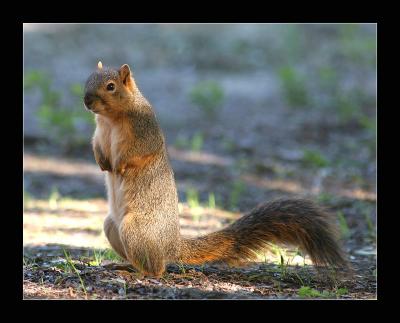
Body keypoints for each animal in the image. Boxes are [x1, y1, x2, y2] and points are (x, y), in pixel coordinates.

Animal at [83, 62, 346, 278]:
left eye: (110, 86)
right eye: (88, 79)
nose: (86, 101)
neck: (111, 119)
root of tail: (173, 245)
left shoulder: (144, 129)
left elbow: (138, 152)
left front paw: (119, 165)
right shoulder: (99, 133)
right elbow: (96, 146)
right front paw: (102, 163)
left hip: (135, 229)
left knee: (158, 268)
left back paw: (137, 272)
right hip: (112, 227)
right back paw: (123, 265)